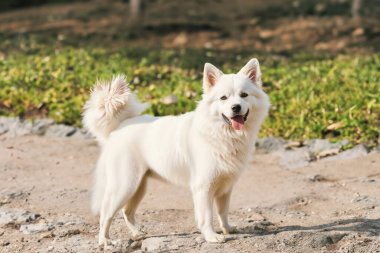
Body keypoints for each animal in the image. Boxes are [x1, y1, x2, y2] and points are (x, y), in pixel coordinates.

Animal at [83, 58, 270, 245]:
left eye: (244, 95)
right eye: (223, 98)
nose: (236, 107)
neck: (220, 132)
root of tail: (122, 124)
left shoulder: (226, 187)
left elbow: (222, 212)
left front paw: (228, 229)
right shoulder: (203, 187)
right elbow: (206, 216)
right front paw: (211, 236)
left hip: (139, 186)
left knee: (127, 212)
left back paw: (137, 234)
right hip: (125, 185)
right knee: (106, 214)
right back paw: (105, 241)